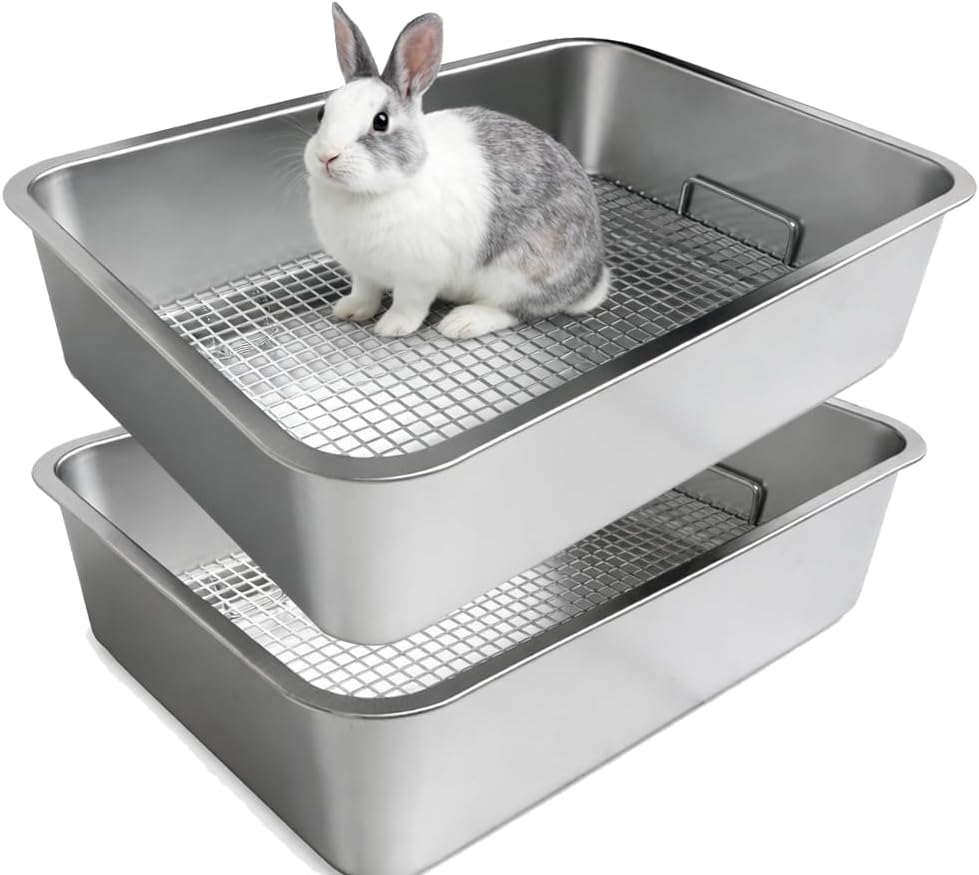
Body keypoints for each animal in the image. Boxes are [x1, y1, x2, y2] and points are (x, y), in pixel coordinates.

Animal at [304, 4, 609, 339]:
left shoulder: (419, 275)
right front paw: (350, 310)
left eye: (381, 121)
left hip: (518, 273)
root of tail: (589, 281)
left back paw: (462, 322)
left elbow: (408, 303)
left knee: (514, 310)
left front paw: (393, 328)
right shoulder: (362, 271)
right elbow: (365, 292)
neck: (369, 192)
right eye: (322, 112)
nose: (326, 156)